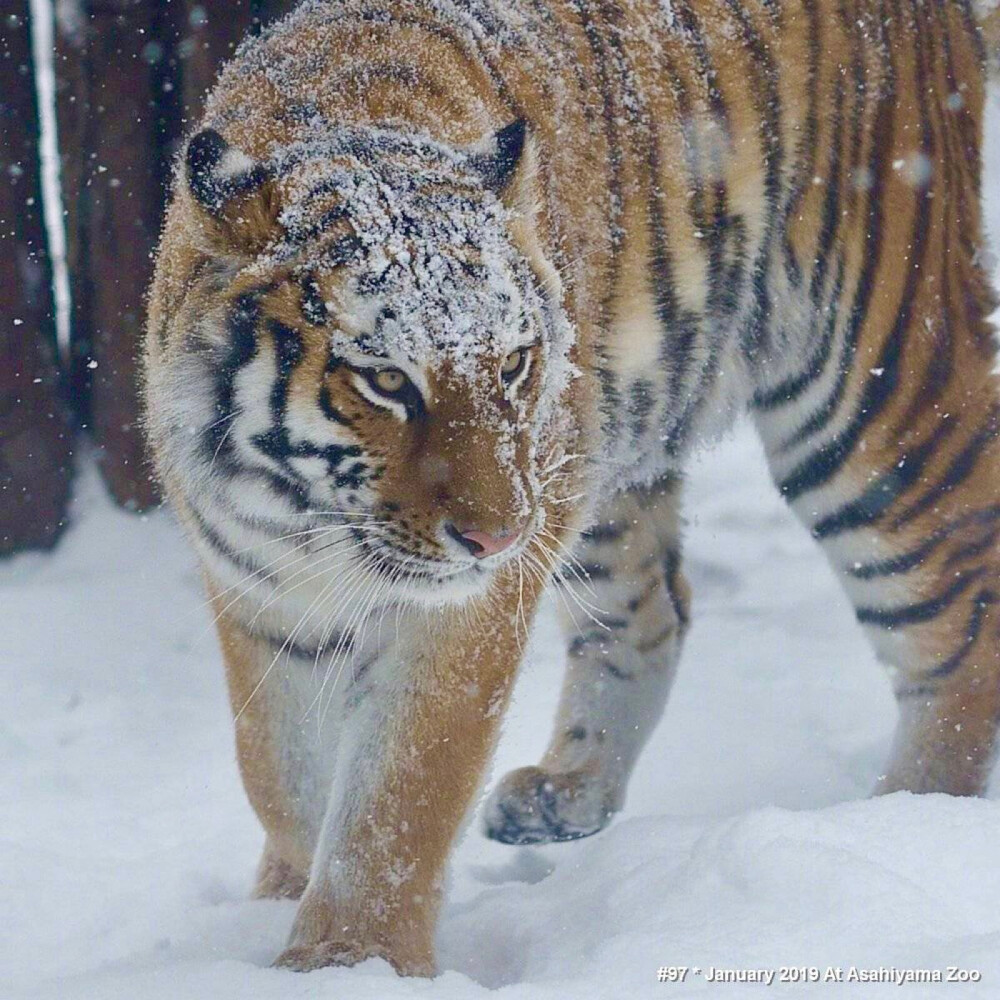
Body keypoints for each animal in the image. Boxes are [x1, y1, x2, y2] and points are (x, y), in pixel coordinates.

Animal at [145, 0, 1000, 980]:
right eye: (387, 381)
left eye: (513, 364)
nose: (495, 539)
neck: (307, 517)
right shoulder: (258, 591)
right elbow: (278, 770)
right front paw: (286, 899)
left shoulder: (460, 613)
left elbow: (396, 796)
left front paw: (350, 961)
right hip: (595, 476)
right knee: (654, 607)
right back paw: (568, 793)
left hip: (873, 380)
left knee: (959, 614)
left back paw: (908, 821)